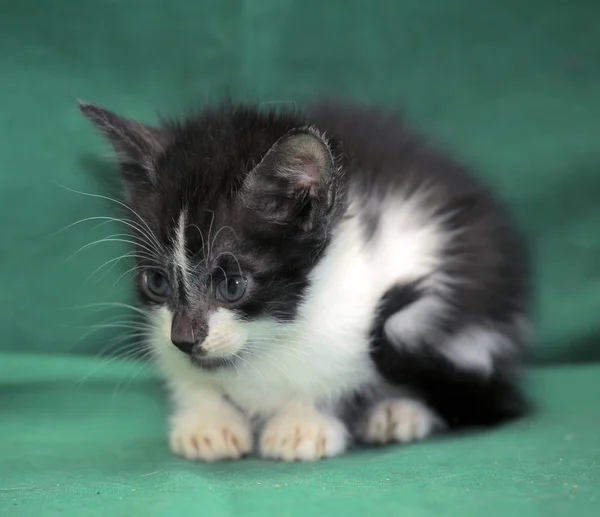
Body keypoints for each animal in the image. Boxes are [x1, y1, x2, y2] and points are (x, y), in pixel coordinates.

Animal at [79, 99, 528, 462]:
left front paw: (303, 421)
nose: (185, 339)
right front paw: (207, 420)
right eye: (156, 282)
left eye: (232, 286)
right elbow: (189, 375)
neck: (267, 339)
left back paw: (397, 411)